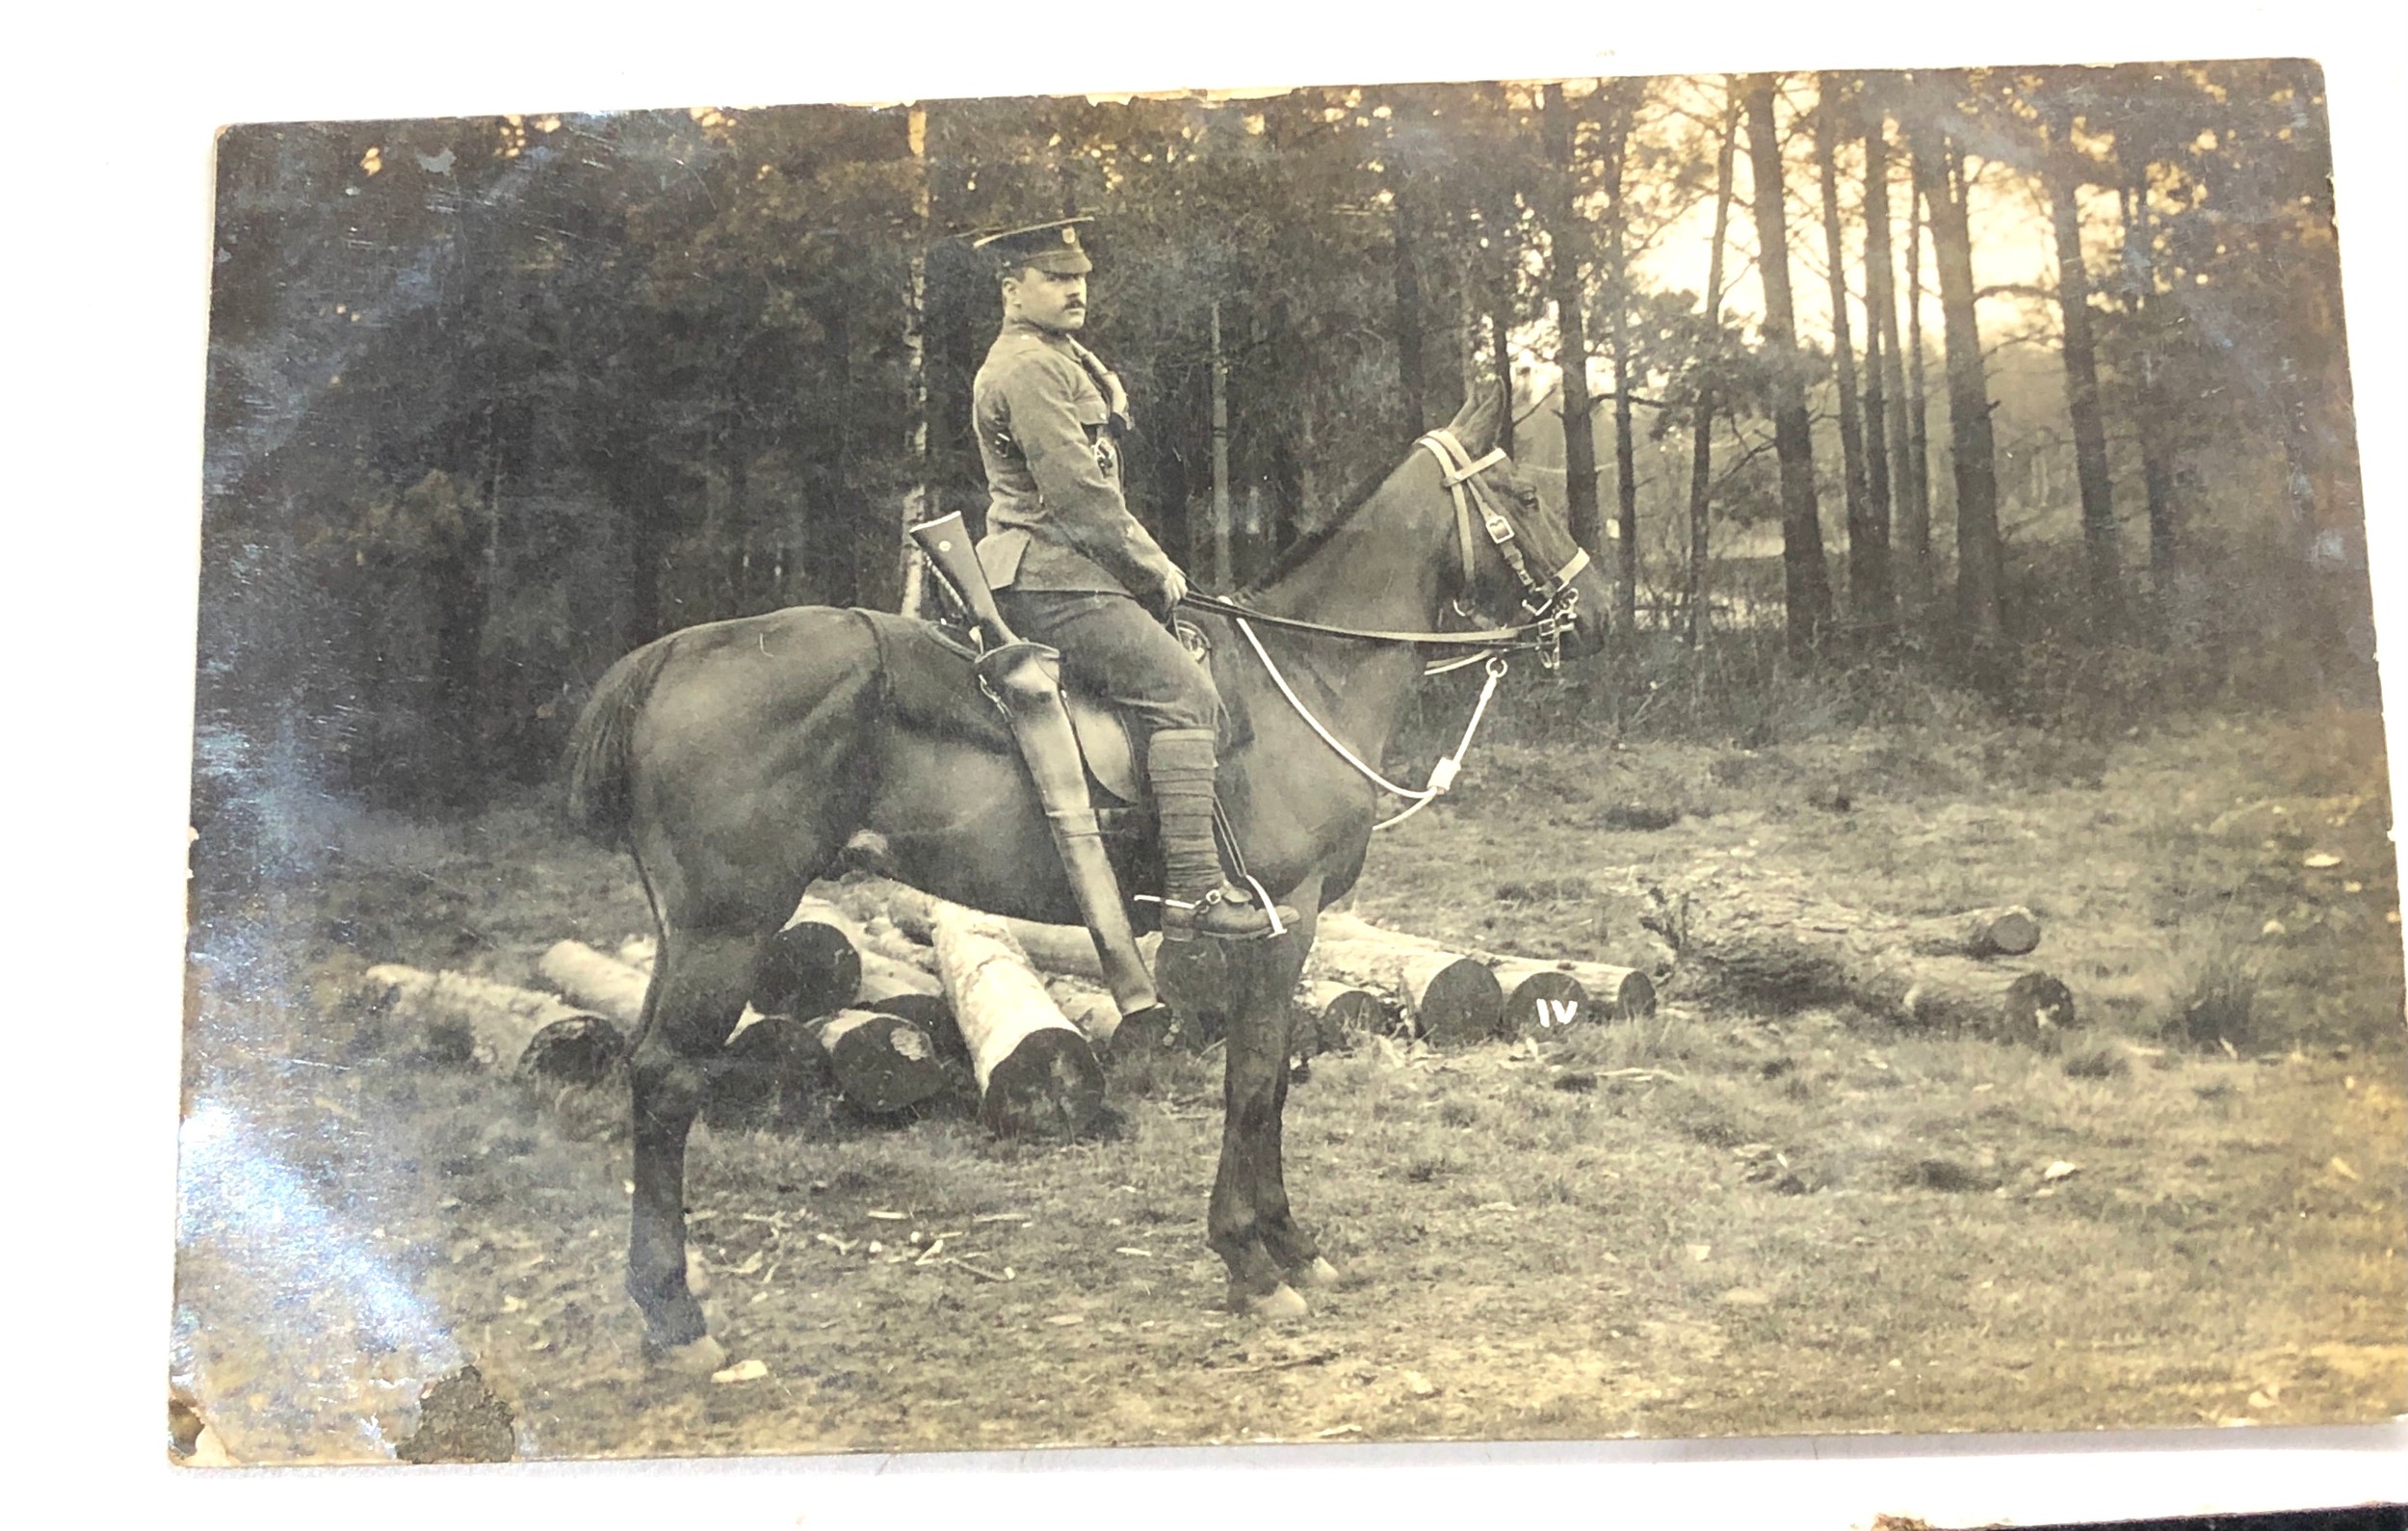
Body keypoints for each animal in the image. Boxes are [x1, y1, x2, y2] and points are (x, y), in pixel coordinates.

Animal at [565, 384, 1618, 1377]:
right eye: (1524, 494)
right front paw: (1251, 1258)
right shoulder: (1284, 922)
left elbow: (1270, 1082)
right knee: (666, 1078)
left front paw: (1285, 1241)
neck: (1310, 671)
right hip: (729, 927)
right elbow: (1253, 1085)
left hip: (686, 932)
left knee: (646, 1066)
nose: (1599, 610)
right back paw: (678, 1319)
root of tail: (673, 654)